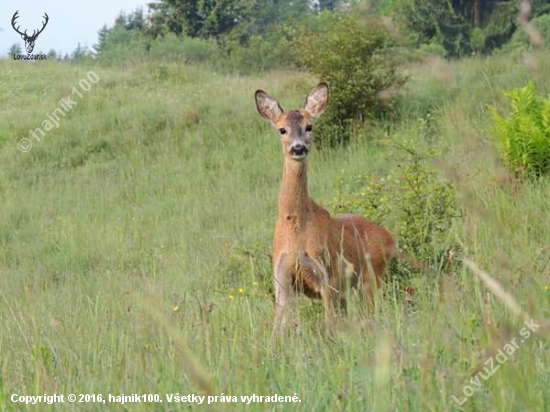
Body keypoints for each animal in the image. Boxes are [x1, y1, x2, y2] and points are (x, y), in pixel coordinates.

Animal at [254, 82, 396, 330]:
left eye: (309, 126)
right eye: (282, 130)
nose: (298, 148)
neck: (296, 228)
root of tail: (390, 237)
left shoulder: (327, 276)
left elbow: (329, 326)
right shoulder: (282, 280)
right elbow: (277, 330)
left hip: (371, 278)